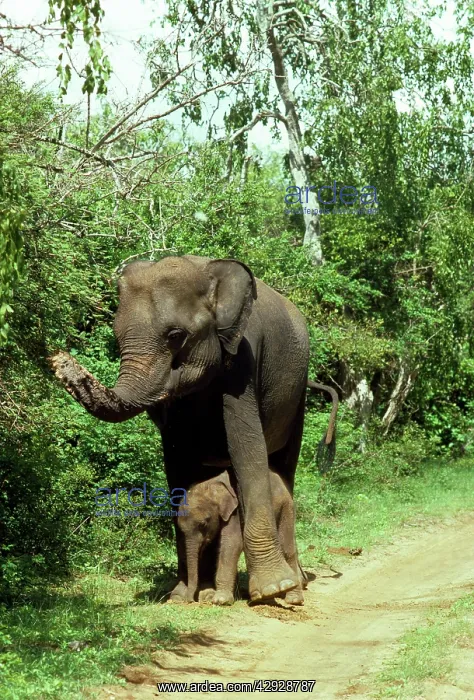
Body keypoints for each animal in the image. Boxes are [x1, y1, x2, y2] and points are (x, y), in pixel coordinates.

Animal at [176, 468, 307, 606]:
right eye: (180, 528)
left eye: (203, 523)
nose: (189, 601)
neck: (211, 485)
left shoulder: (234, 511)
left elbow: (232, 544)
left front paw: (220, 601)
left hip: (286, 506)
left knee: (287, 548)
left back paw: (293, 600)